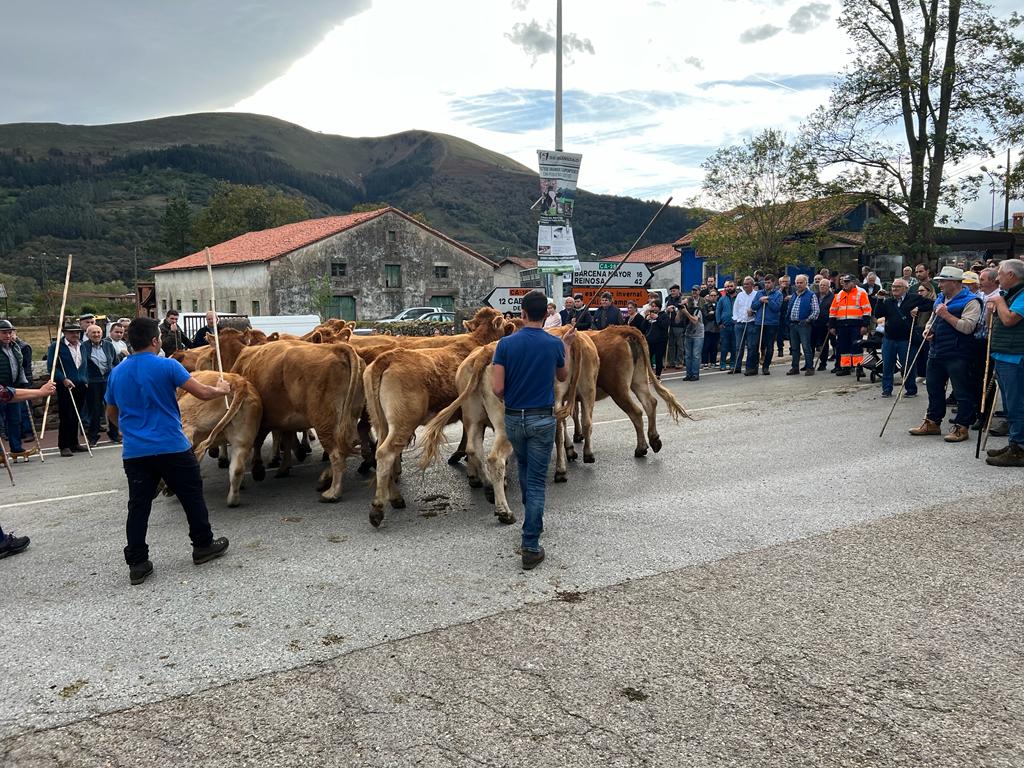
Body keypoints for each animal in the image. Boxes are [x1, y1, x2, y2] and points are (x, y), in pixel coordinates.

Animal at [231, 339, 364, 501]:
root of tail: (335, 348)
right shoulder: (285, 422)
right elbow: (286, 440)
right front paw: (284, 467)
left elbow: (257, 442)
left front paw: (258, 470)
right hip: (349, 416)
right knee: (349, 445)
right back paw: (325, 478)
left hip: (324, 423)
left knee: (337, 454)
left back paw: (332, 492)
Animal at [364, 309, 516, 528]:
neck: (478, 340)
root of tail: (388, 357)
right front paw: (476, 475)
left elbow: (469, 442)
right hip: (403, 422)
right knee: (386, 454)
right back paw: (378, 508)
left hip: (381, 422)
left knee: (381, 453)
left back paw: (395, 497)